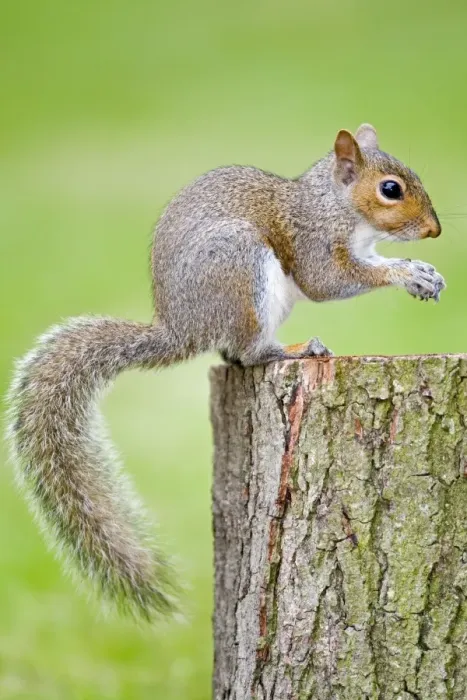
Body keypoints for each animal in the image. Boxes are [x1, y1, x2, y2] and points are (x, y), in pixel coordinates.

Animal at [6, 123, 445, 621]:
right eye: (390, 189)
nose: (434, 230)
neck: (334, 204)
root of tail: (182, 330)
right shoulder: (313, 242)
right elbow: (329, 281)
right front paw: (408, 273)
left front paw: (423, 270)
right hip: (239, 266)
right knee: (248, 353)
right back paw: (295, 349)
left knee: (233, 356)